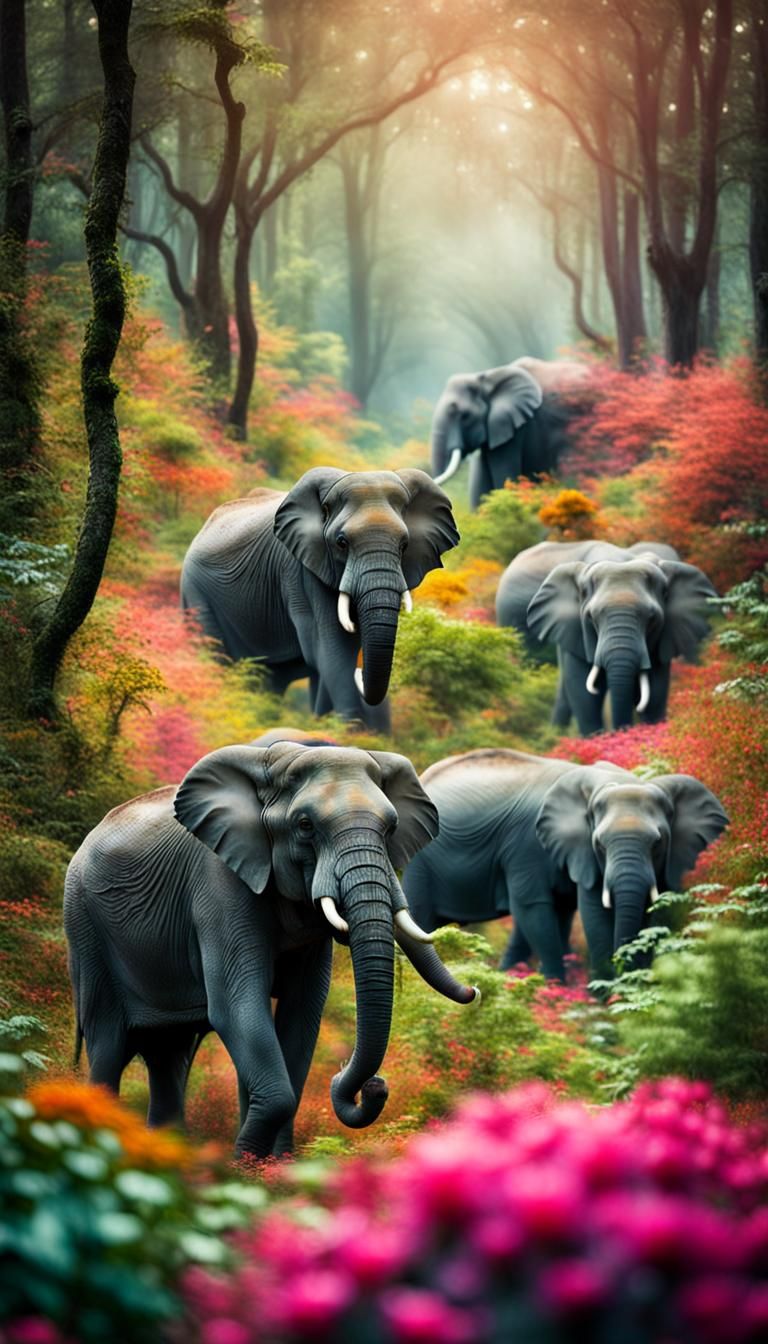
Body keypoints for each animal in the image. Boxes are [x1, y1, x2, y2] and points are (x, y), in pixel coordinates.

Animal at [64, 741, 478, 1158]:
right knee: (108, 1046)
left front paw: (275, 1165)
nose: (374, 1085)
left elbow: (303, 1008)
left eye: (391, 828)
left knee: (169, 1054)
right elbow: (237, 1006)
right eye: (305, 826)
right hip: (84, 928)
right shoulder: (218, 883)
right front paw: (245, 1165)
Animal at [180, 468, 459, 730]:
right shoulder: (300, 571)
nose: (360, 673)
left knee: (271, 677)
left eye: (405, 545)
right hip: (195, 594)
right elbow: (330, 649)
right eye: (341, 543)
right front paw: (349, 734)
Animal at [402, 748, 728, 982]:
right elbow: (551, 907)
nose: (622, 970)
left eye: (658, 844)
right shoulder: (528, 843)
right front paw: (572, 988)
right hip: (418, 858)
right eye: (599, 845)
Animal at [496, 540, 717, 735]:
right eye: (591, 617)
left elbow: (655, 691)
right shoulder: (576, 628)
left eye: (652, 618)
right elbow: (583, 691)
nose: (623, 732)